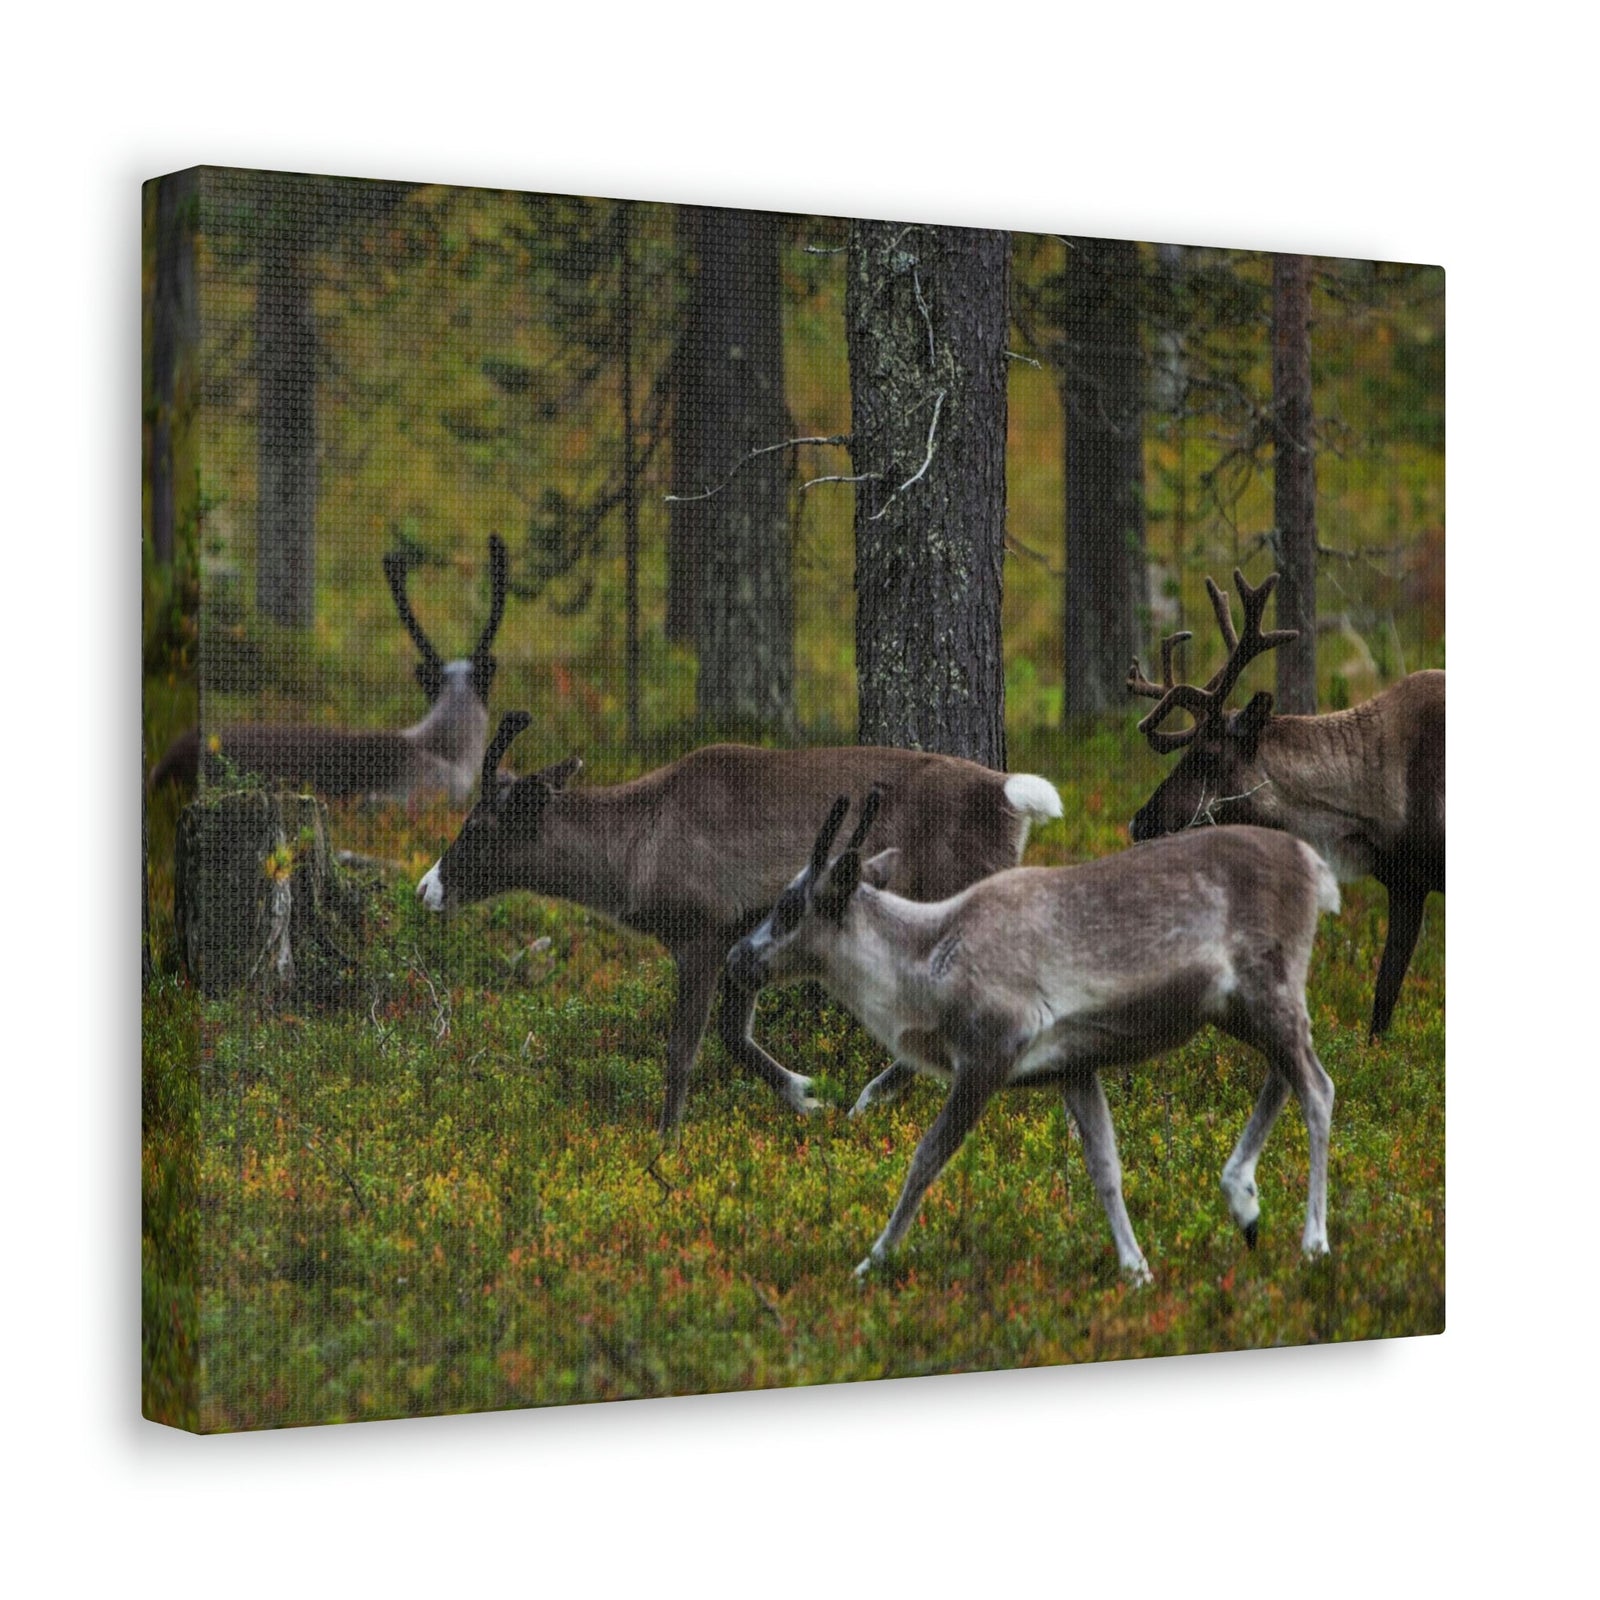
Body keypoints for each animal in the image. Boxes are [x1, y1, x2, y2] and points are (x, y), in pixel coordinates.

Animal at [416, 712, 1065, 1134]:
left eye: (478, 826)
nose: (426, 888)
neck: (636, 852)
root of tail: (1009, 794)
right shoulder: (738, 941)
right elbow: (733, 1034)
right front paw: (804, 1097)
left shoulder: (700, 935)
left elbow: (684, 1047)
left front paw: (665, 1141)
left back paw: (872, 1098)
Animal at [727, 792, 1342, 1280]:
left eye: (788, 906)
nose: (738, 958)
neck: (924, 968)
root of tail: (1315, 864)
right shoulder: (1073, 1065)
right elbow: (1105, 1167)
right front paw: (1136, 1269)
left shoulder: (988, 1053)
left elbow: (926, 1158)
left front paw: (870, 1263)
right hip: (1237, 1005)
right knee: (1286, 1073)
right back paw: (1244, 1202)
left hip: (1268, 985)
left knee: (1318, 1087)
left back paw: (1313, 1241)